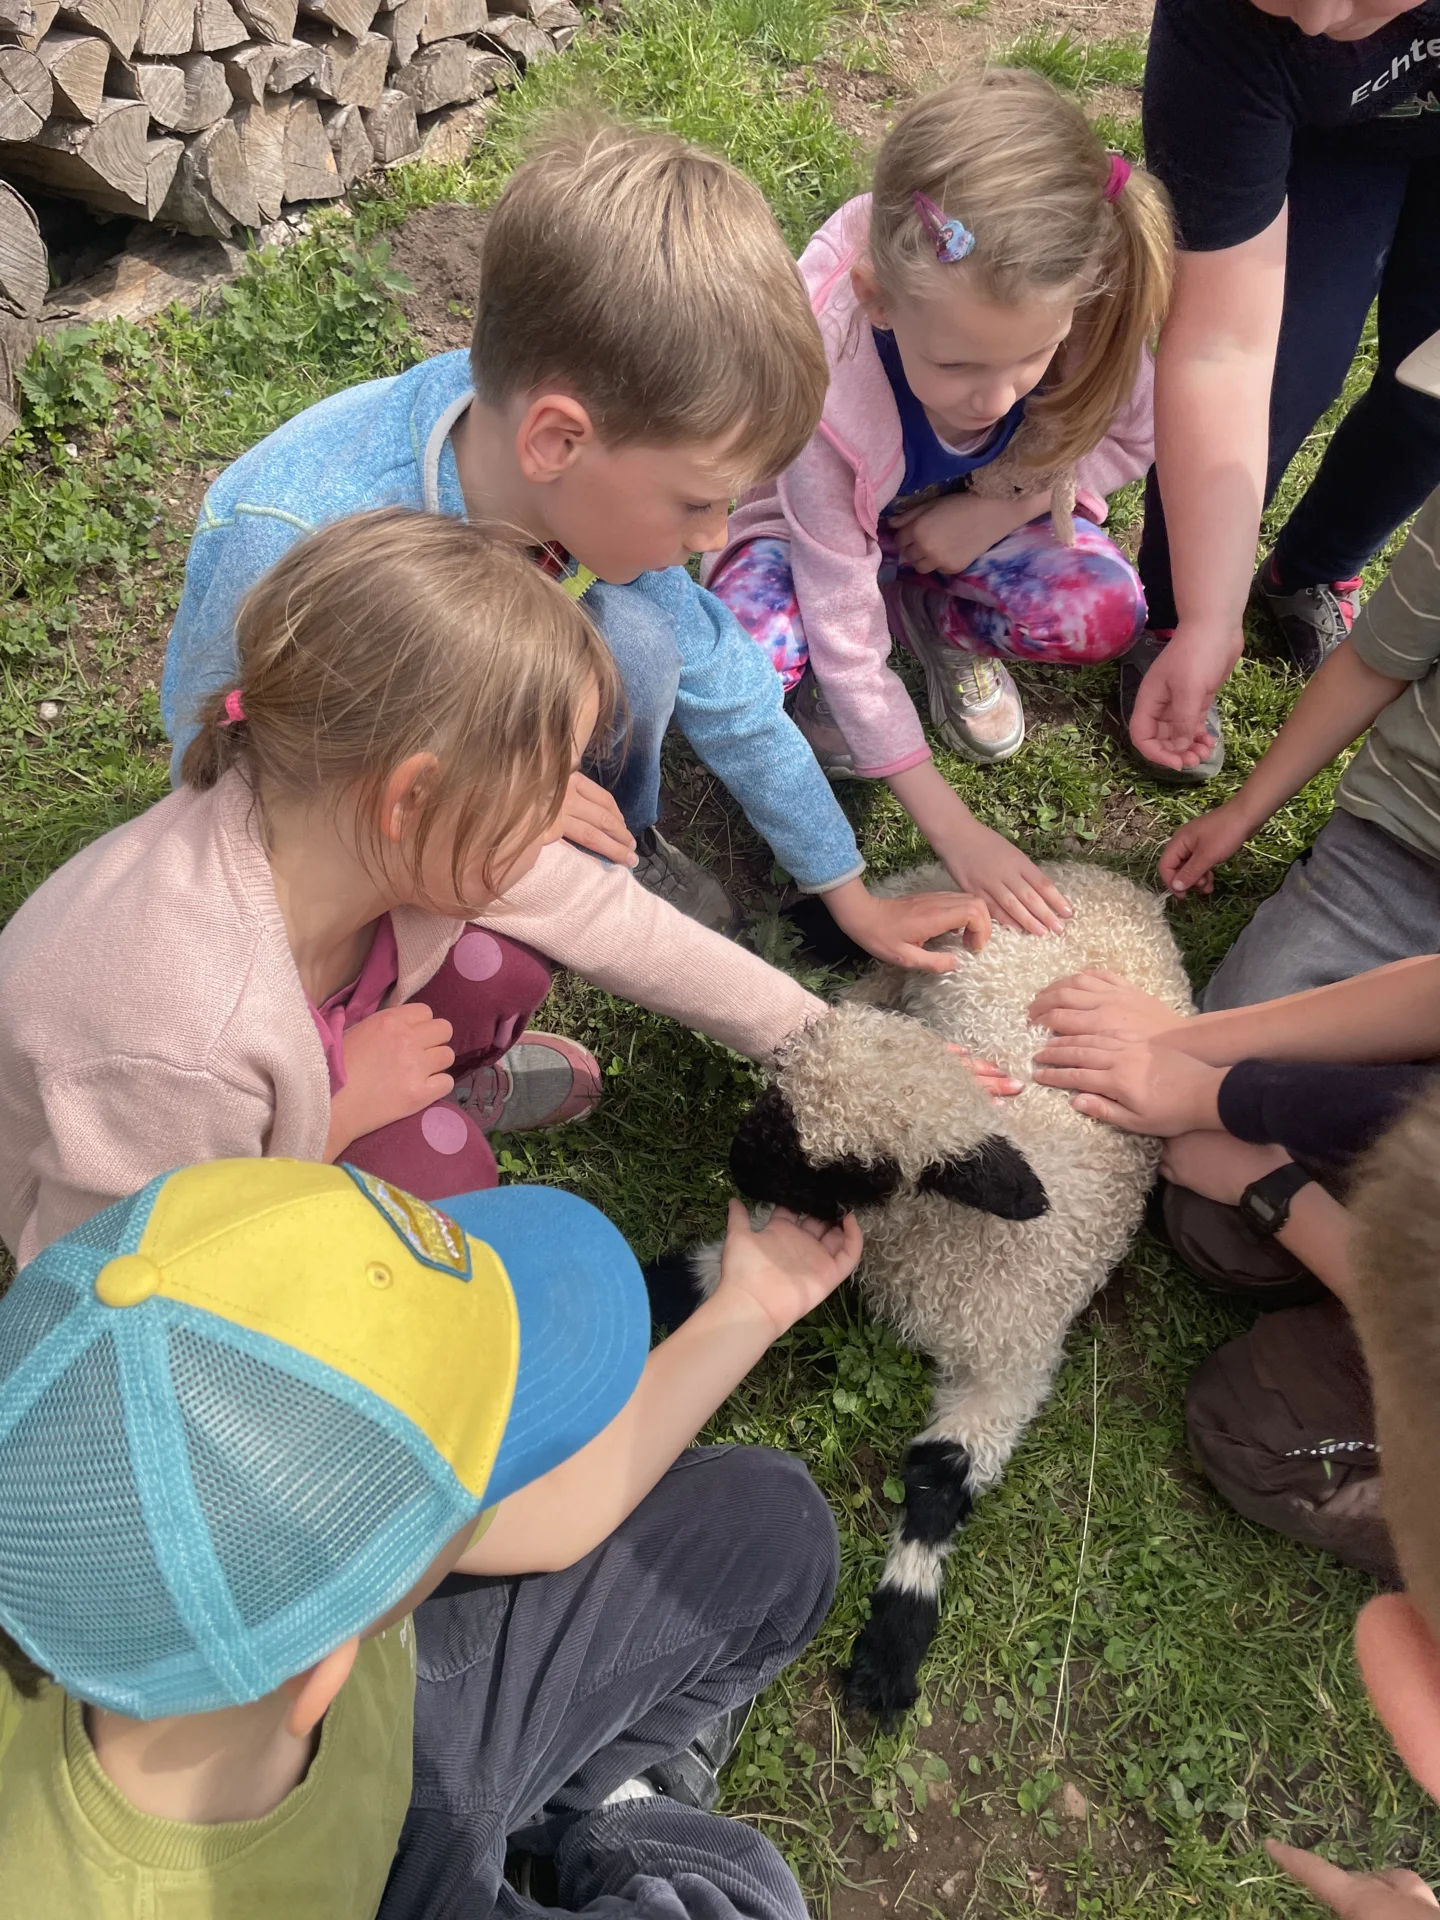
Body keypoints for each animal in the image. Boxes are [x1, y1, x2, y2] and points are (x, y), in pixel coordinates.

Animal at [673, 860, 1192, 1721]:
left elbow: (940, 1477)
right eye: (777, 1095)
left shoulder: (1011, 1362)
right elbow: (706, 1274)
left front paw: (891, 1650)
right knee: (892, 900)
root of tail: (1122, 888)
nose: (740, 1167)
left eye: (861, 1169)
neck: (943, 1244)